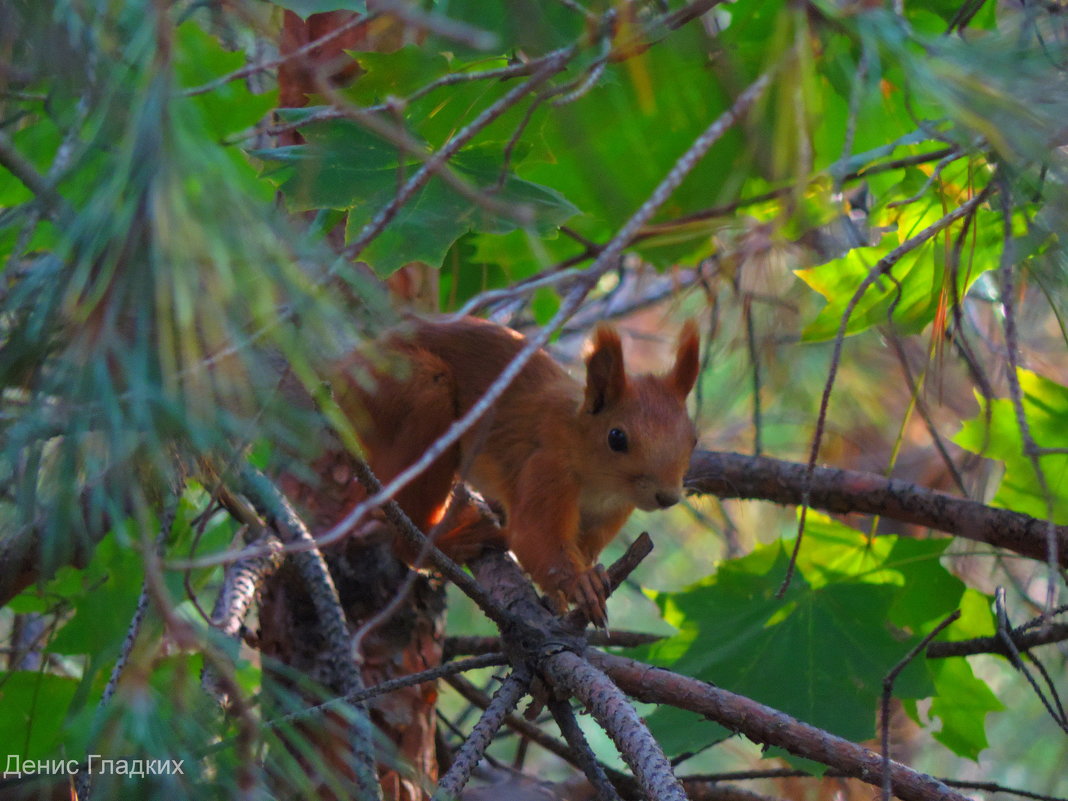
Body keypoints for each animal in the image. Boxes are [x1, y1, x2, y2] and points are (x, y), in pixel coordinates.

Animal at [333, 316, 700, 627]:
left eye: (693, 438)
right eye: (617, 438)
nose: (668, 496)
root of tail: (344, 373)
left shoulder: (607, 515)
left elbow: (582, 548)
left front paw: (579, 581)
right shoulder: (545, 469)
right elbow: (534, 540)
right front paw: (582, 583)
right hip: (416, 392)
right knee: (407, 543)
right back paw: (459, 537)